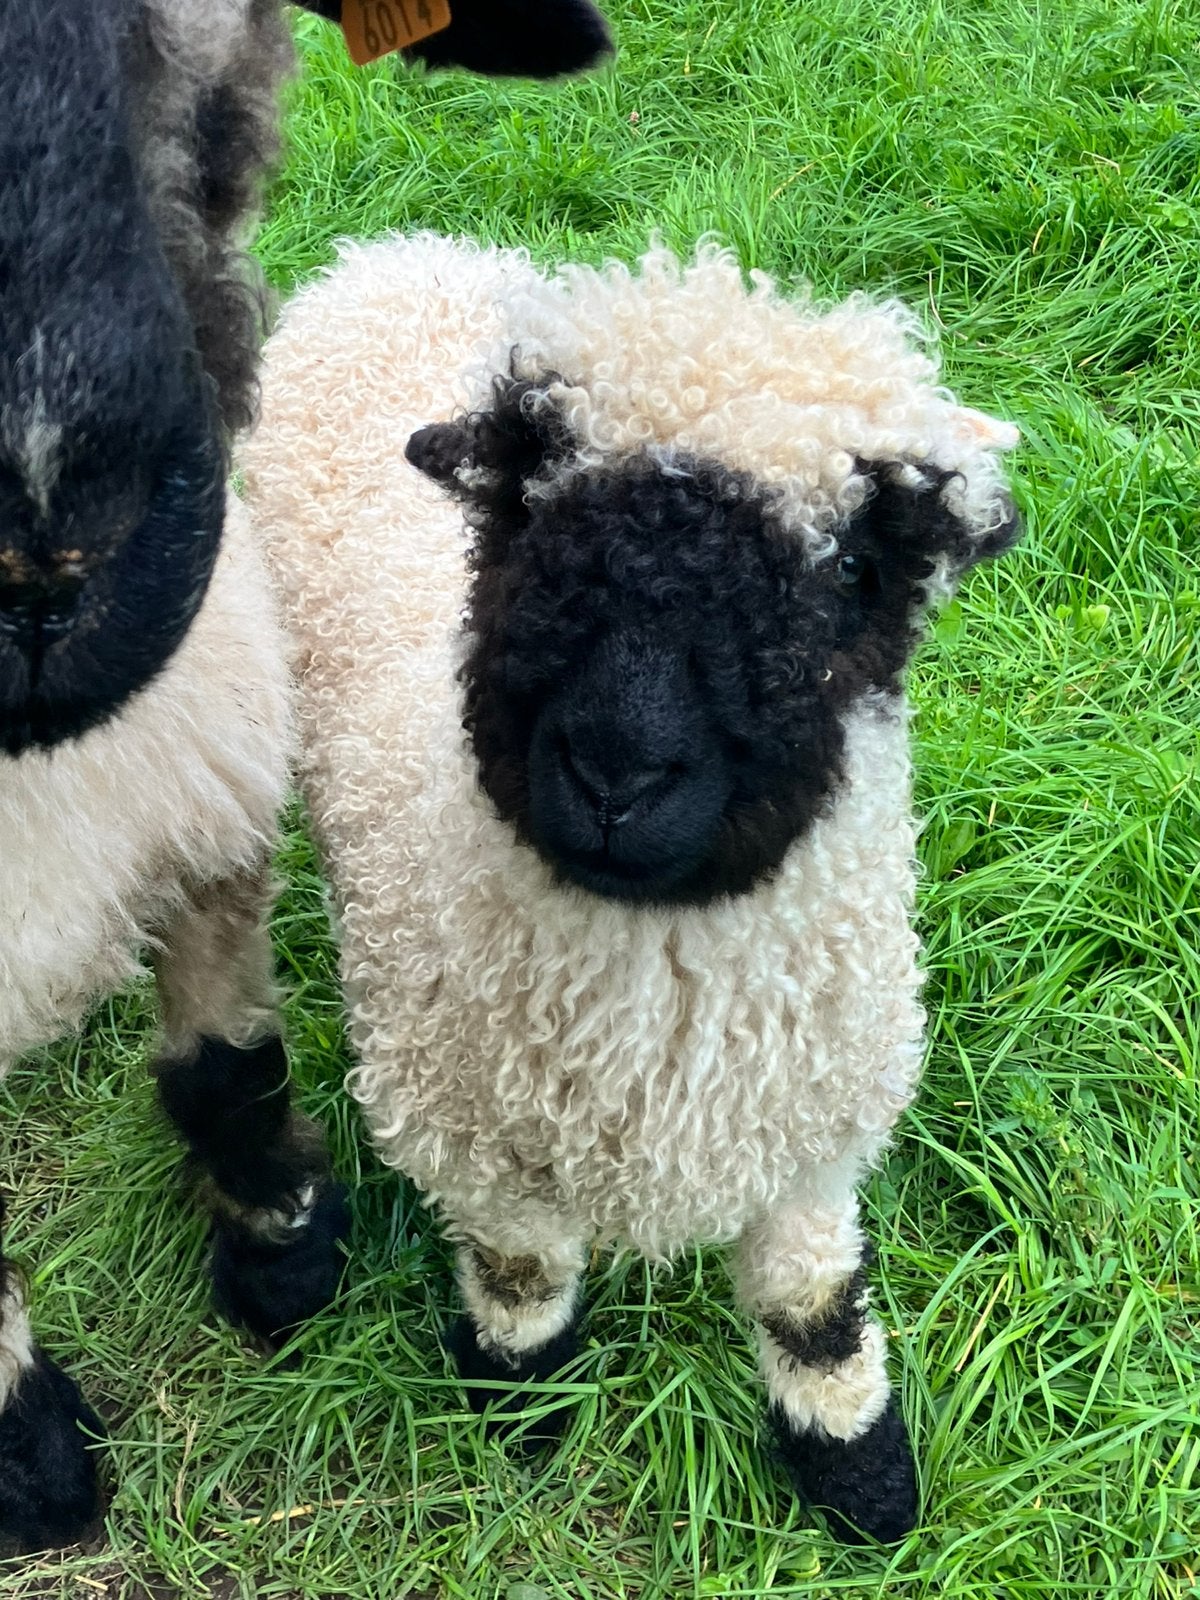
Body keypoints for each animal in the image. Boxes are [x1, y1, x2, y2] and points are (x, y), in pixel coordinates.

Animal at [242, 232, 1022, 1546]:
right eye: (524, 512)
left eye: (855, 566)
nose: (616, 766)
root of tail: (396, 254)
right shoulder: (480, 1144)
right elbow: (523, 1277)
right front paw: (522, 1412)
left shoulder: (815, 1131)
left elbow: (813, 1302)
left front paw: (861, 1477)